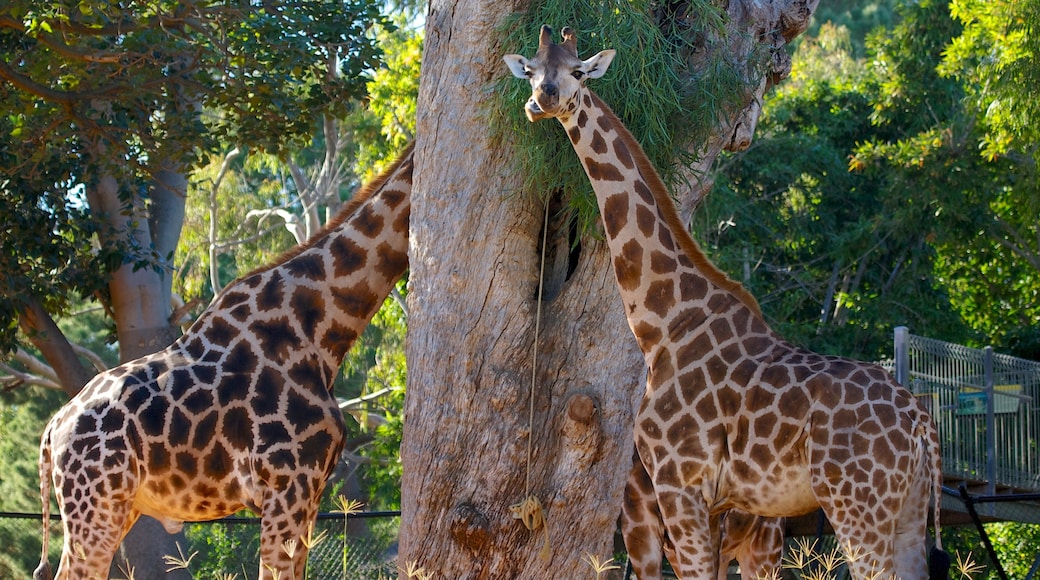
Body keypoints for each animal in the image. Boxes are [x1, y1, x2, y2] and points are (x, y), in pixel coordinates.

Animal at [32, 143, 413, 577]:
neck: (322, 329)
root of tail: (52, 430)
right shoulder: (287, 485)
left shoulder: (311, 491)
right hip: (94, 505)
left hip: (117, 507)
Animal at [505, 27, 952, 580]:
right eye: (531, 69)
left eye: (579, 71)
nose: (541, 101)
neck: (660, 323)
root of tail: (920, 420)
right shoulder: (709, 504)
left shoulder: (679, 485)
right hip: (906, 512)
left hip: (856, 504)